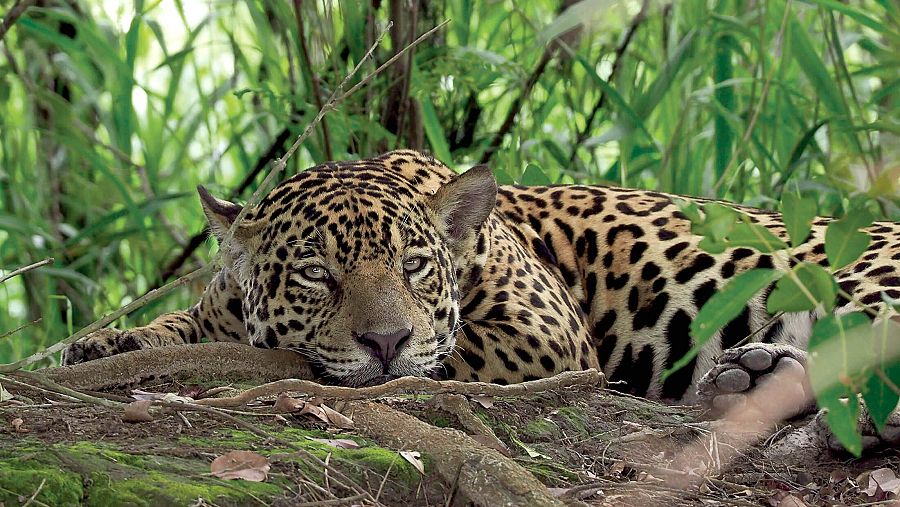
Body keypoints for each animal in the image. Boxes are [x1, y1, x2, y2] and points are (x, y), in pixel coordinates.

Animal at [62, 150, 900, 448]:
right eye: (317, 274)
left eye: (413, 266)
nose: (384, 341)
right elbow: (181, 325)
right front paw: (107, 343)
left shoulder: (545, 332)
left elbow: (445, 355)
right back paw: (754, 375)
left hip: (862, 279)